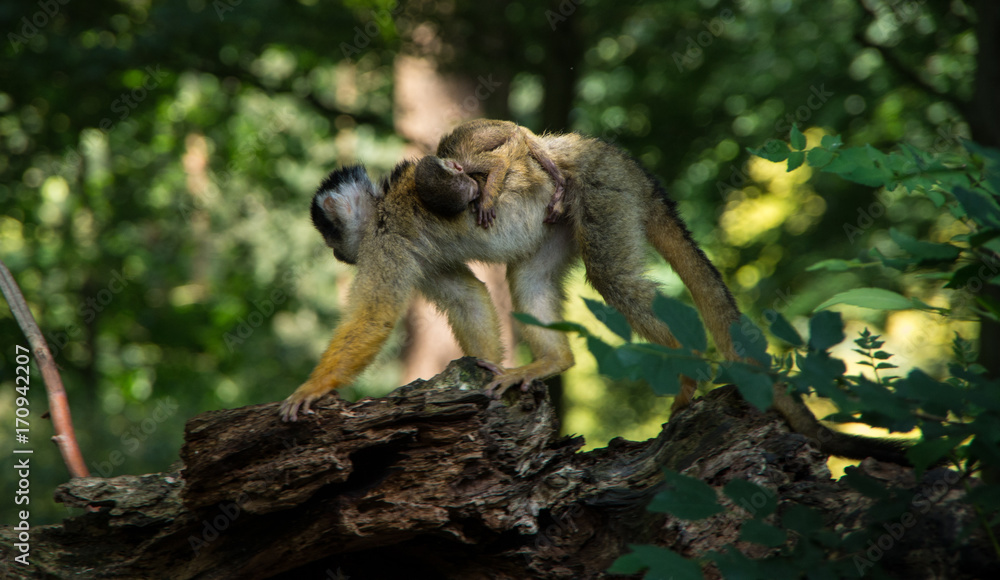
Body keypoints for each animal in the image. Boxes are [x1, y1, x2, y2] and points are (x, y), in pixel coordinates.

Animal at [414, 119, 567, 227]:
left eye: (471, 188)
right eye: (470, 195)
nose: (476, 192)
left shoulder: (467, 161)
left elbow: (500, 163)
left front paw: (486, 202)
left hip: (516, 130)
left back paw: (560, 183)